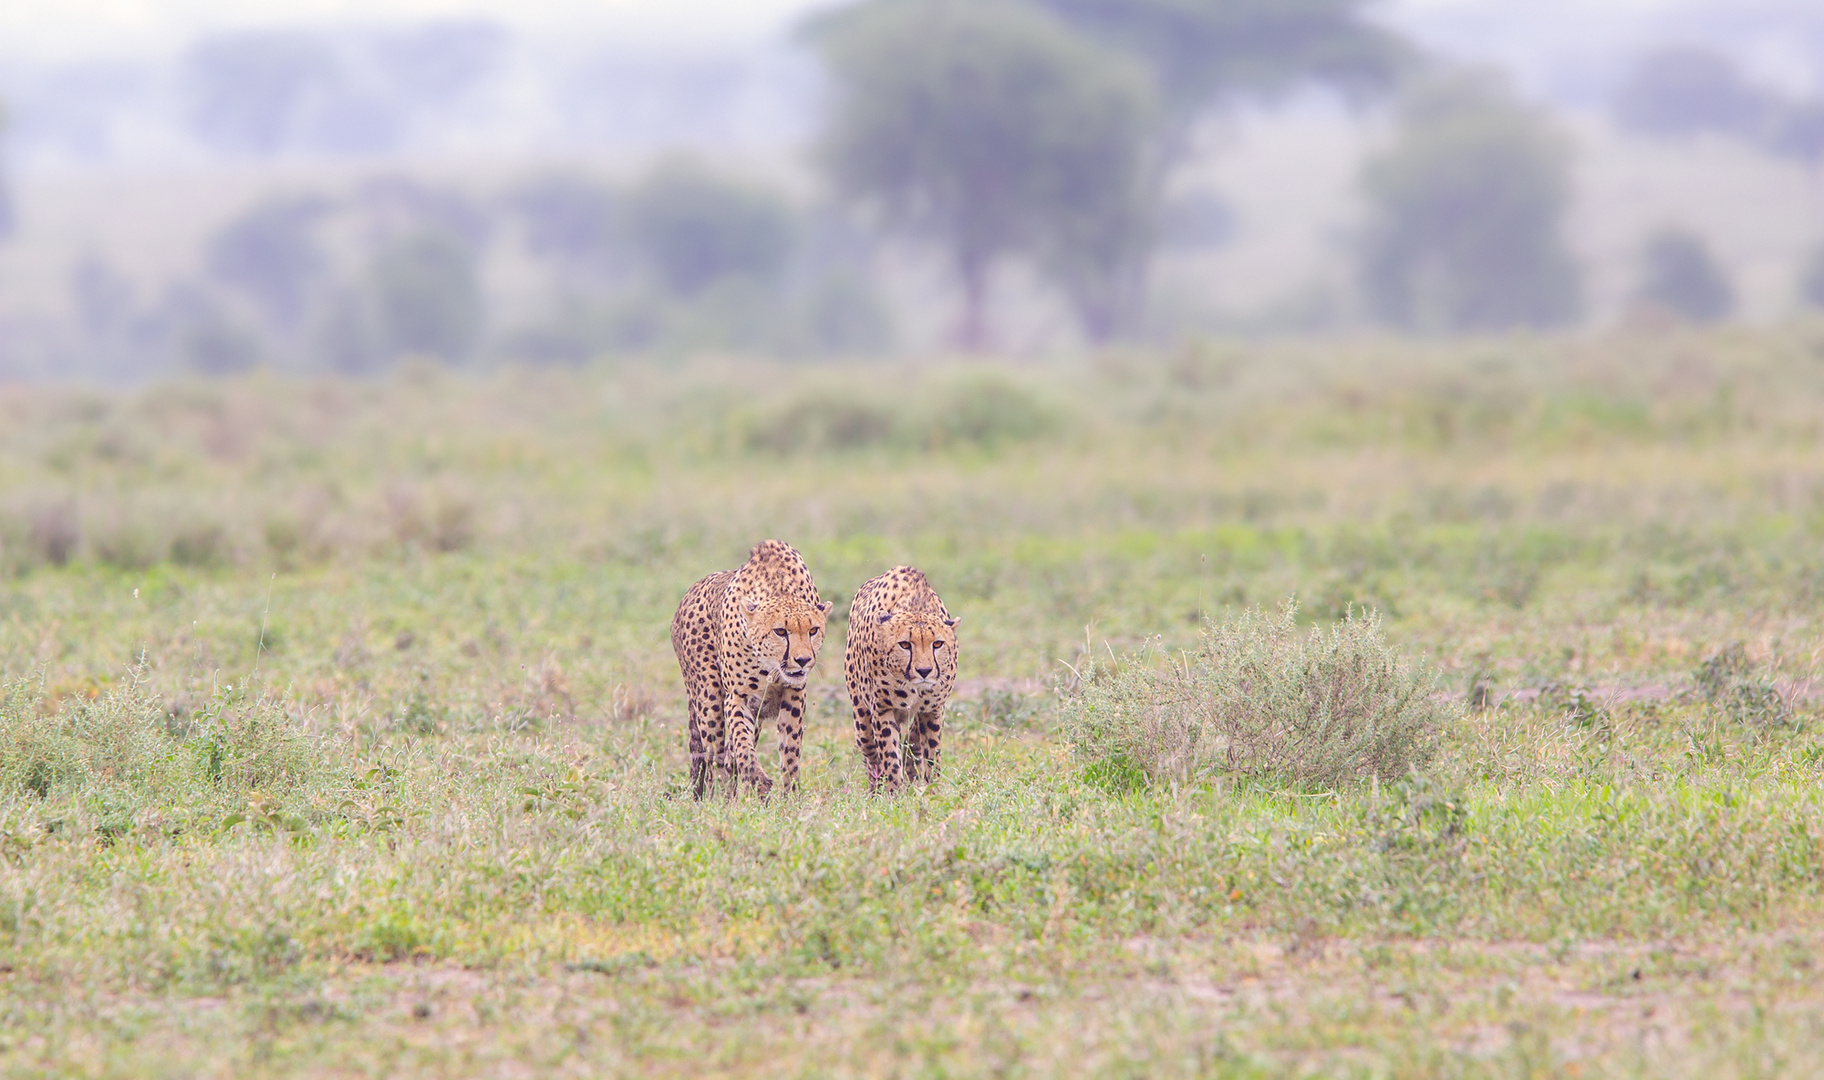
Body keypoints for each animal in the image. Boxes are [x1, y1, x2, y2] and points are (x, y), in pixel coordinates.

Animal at [674, 540, 835, 802]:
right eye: (780, 631)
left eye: (813, 630)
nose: (802, 660)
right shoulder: (738, 697)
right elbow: (741, 742)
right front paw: (759, 782)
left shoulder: (794, 694)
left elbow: (790, 749)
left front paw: (791, 796)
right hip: (709, 699)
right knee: (715, 756)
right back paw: (718, 798)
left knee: (727, 757)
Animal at [846, 565, 963, 791]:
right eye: (905, 644)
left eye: (937, 644)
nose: (924, 671)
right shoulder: (883, 709)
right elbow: (889, 753)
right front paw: (894, 791)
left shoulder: (934, 709)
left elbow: (931, 751)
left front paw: (932, 788)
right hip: (861, 717)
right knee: (870, 750)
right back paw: (876, 785)